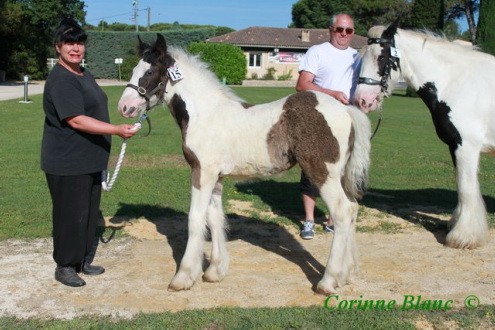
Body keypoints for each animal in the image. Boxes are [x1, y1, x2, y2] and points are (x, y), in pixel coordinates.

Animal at [117, 34, 372, 294]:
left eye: (149, 72)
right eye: (134, 69)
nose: (124, 107)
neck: (204, 114)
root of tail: (346, 110)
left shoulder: (202, 173)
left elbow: (195, 218)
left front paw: (184, 276)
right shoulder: (216, 177)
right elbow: (214, 217)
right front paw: (215, 271)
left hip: (323, 172)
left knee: (342, 211)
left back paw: (328, 281)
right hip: (340, 175)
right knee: (353, 209)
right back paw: (346, 274)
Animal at [354, 20, 494, 248]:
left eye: (381, 57)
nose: (363, 100)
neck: (458, 81)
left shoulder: (466, 146)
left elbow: (466, 187)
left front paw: (463, 236)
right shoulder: (454, 146)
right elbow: (460, 184)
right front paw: (455, 223)